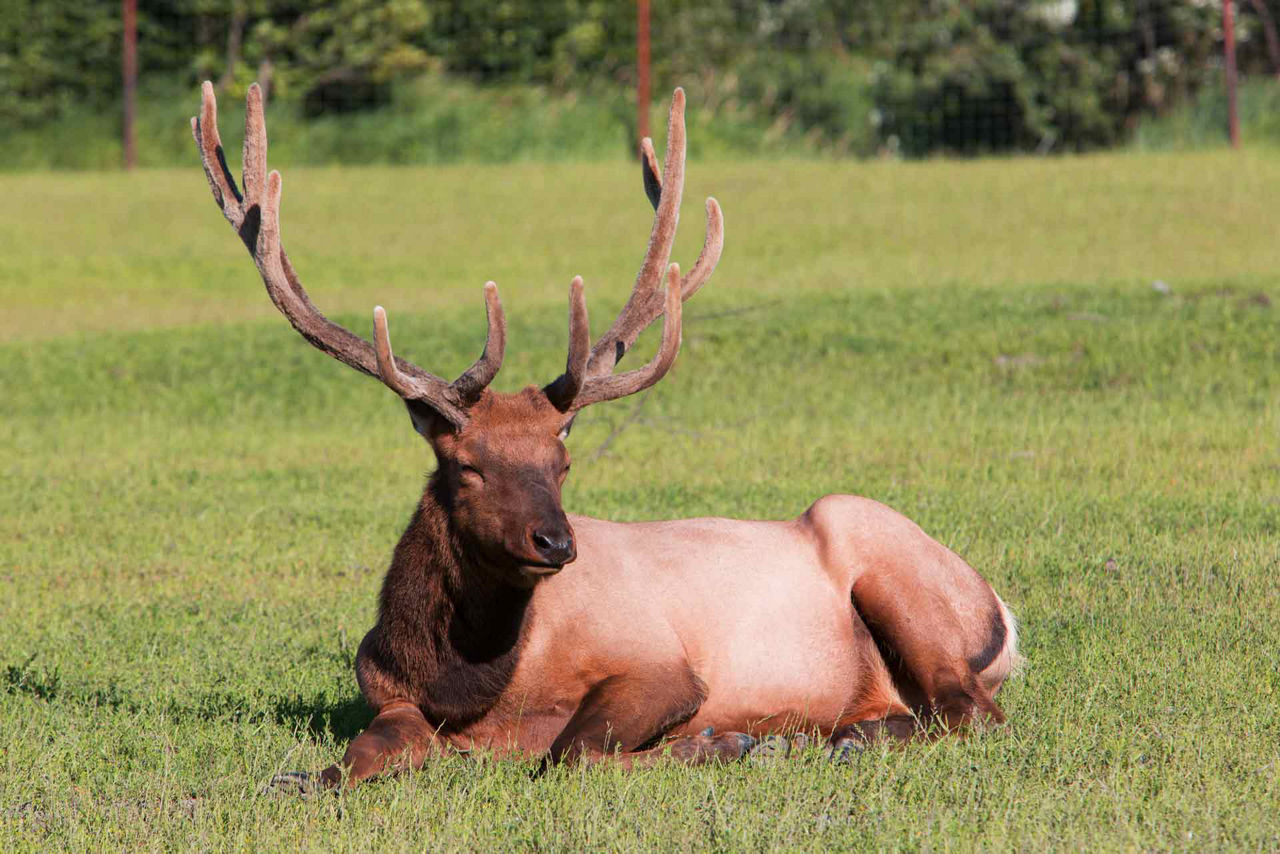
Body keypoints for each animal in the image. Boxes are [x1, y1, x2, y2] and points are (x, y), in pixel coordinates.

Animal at [192, 83, 1018, 783]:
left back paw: (830, 739)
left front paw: (726, 741)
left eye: (563, 463)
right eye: (467, 464)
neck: (472, 686)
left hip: (883, 552)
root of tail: (1004, 616)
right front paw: (302, 777)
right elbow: (357, 757)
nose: (556, 543)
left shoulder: (660, 661)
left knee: (971, 710)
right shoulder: (388, 693)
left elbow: (573, 751)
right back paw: (847, 734)